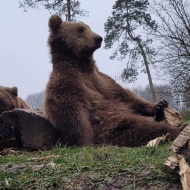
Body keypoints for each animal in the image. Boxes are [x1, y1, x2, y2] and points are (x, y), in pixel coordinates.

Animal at [45, 15, 184, 148]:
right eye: (80, 29)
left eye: (88, 27)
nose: (98, 38)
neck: (81, 64)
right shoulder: (68, 83)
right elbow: (72, 113)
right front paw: (86, 141)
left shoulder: (101, 80)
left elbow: (124, 95)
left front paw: (159, 105)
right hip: (110, 123)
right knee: (137, 127)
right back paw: (174, 130)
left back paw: (161, 112)